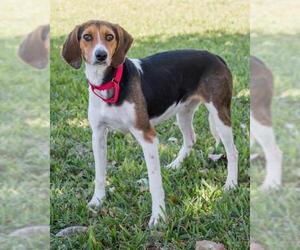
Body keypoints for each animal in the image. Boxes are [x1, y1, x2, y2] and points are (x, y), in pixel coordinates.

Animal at [62, 20, 238, 227]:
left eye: (109, 37)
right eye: (87, 37)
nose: (101, 55)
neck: (108, 82)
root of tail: (216, 57)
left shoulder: (147, 137)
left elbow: (155, 183)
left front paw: (158, 217)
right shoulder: (97, 135)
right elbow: (99, 174)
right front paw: (97, 201)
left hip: (219, 113)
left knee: (232, 152)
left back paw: (231, 185)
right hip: (183, 111)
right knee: (190, 139)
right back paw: (176, 165)